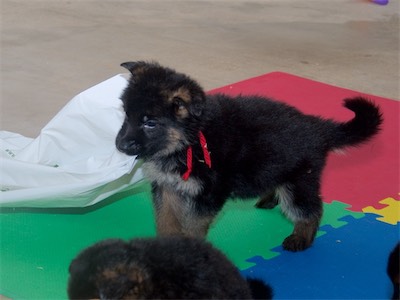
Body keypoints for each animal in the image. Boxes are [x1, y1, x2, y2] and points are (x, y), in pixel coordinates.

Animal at [115, 62, 382, 252]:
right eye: (127, 115)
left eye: (150, 123)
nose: (119, 145)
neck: (190, 138)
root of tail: (317, 127)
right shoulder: (166, 187)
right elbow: (166, 220)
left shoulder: (208, 196)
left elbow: (192, 226)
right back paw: (269, 199)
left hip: (298, 182)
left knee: (311, 209)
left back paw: (301, 238)